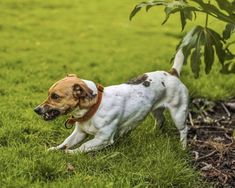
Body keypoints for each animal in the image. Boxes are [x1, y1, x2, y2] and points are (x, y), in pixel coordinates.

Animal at [35, 49, 189, 153]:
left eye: (55, 96)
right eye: (48, 94)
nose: (36, 109)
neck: (93, 108)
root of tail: (172, 73)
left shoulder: (103, 138)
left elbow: (83, 147)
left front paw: (70, 153)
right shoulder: (79, 133)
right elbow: (66, 142)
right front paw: (54, 149)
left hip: (178, 113)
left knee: (184, 130)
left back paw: (183, 147)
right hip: (156, 110)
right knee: (161, 120)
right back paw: (153, 133)